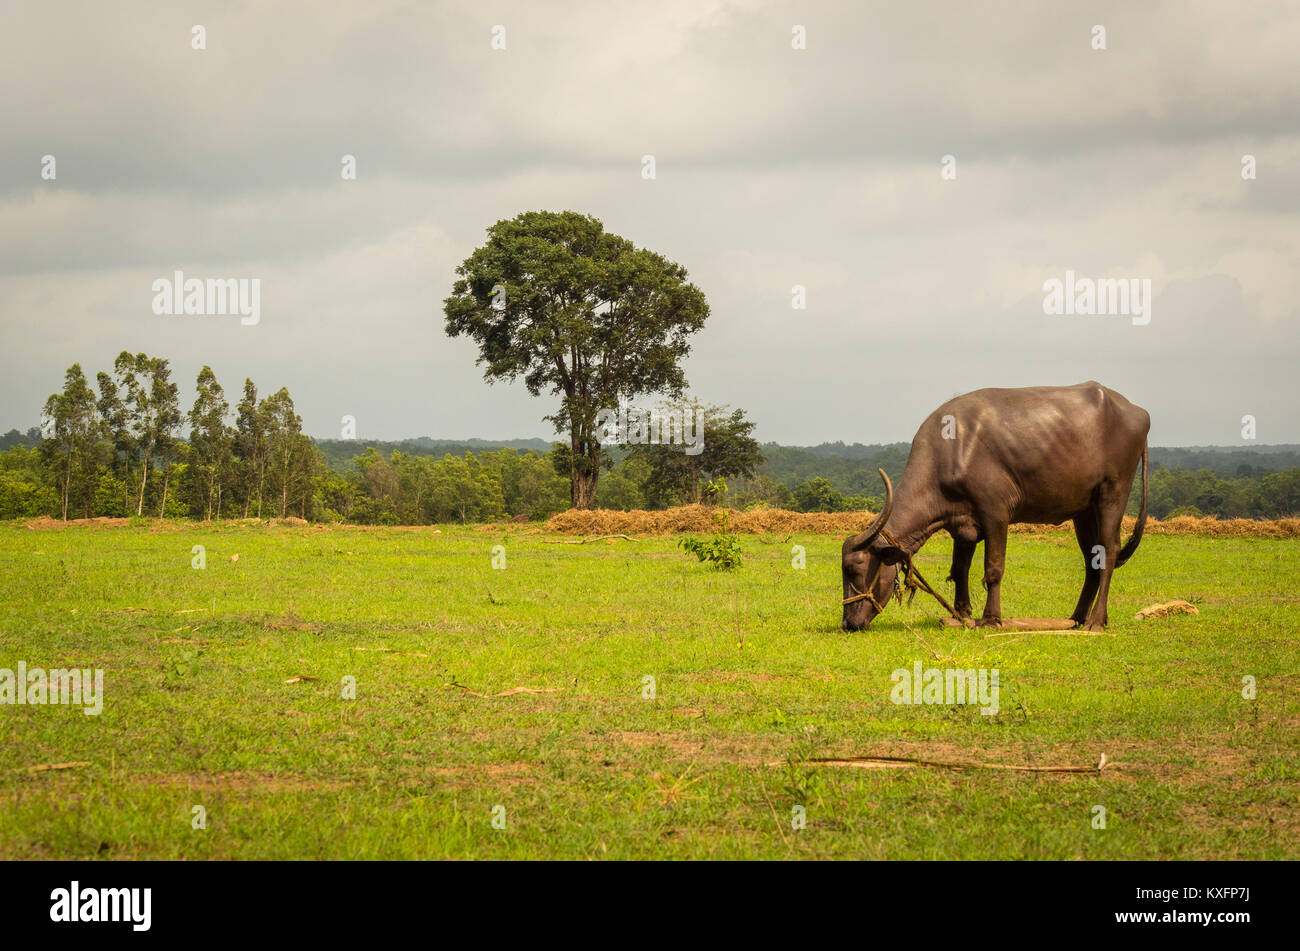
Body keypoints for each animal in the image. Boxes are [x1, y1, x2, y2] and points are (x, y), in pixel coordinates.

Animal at [842, 382, 1149, 631]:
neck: (953, 450)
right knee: (1091, 559)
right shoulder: (962, 523)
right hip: (1084, 510)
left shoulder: (995, 513)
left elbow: (993, 568)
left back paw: (1096, 620)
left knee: (1109, 551)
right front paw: (963, 614)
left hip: (1113, 493)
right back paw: (1077, 618)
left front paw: (990, 618)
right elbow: (959, 568)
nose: (848, 623)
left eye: (855, 569)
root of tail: (1137, 412)